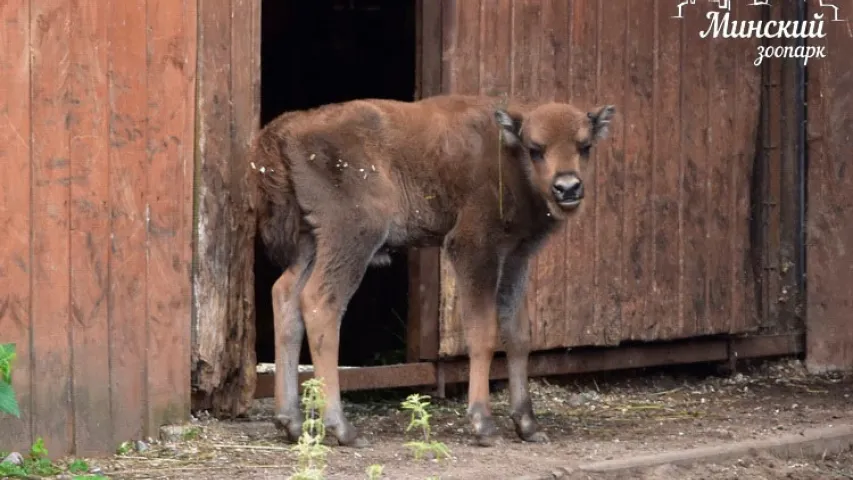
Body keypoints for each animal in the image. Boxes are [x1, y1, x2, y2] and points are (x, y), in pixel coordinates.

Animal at [250, 94, 616, 446]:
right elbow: (483, 333)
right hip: (352, 237)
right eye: (536, 149)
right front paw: (484, 425)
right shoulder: (473, 248)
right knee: (320, 303)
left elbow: (518, 334)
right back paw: (343, 429)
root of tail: (286, 128)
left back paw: (291, 423)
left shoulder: (516, 257)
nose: (567, 187)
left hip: (312, 243)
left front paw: (528, 425)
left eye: (585, 146)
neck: (507, 153)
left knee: (286, 295)